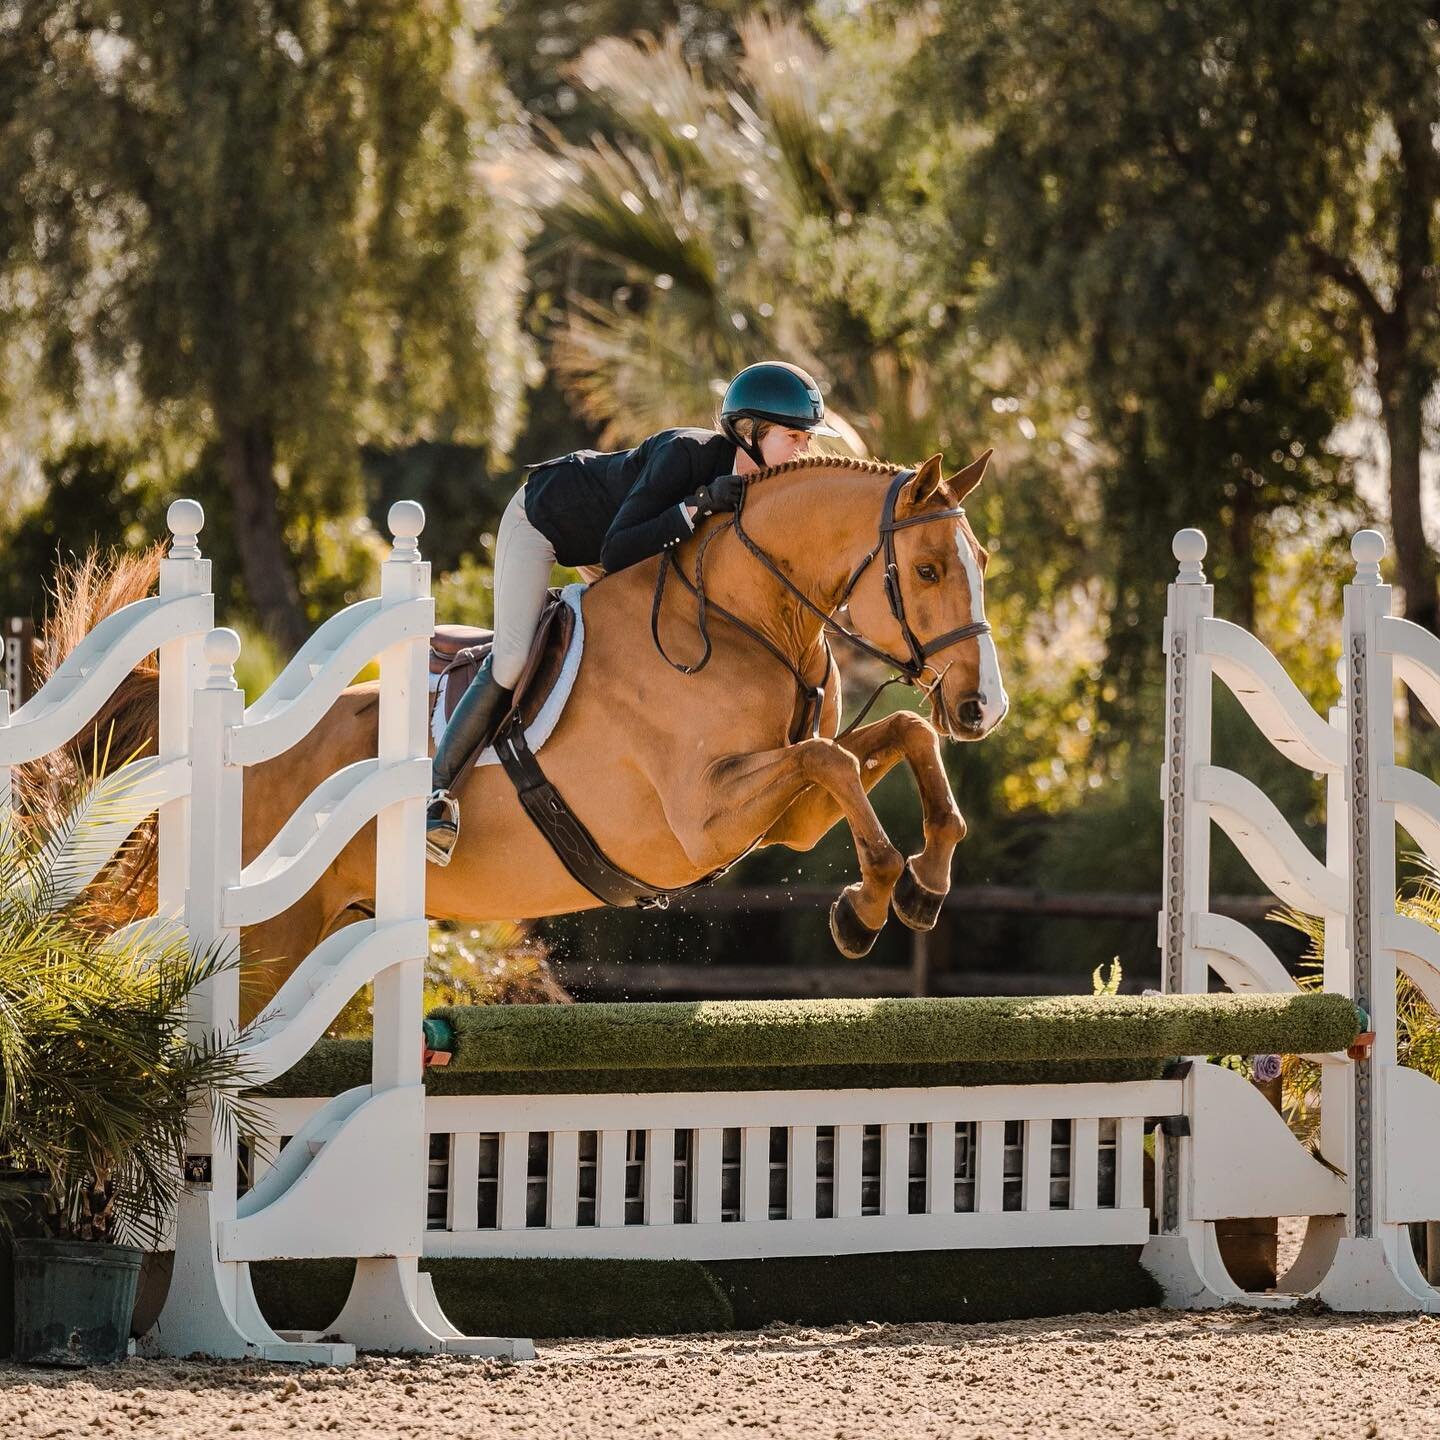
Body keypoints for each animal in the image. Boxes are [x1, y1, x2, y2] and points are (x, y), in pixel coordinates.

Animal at [47, 449, 1013, 1013]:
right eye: (929, 568)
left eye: (981, 562)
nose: (982, 708)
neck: (744, 620)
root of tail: (240, 745)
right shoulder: (703, 819)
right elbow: (832, 758)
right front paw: (868, 904)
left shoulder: (786, 816)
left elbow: (889, 740)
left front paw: (922, 888)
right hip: (268, 941)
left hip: (321, 930)